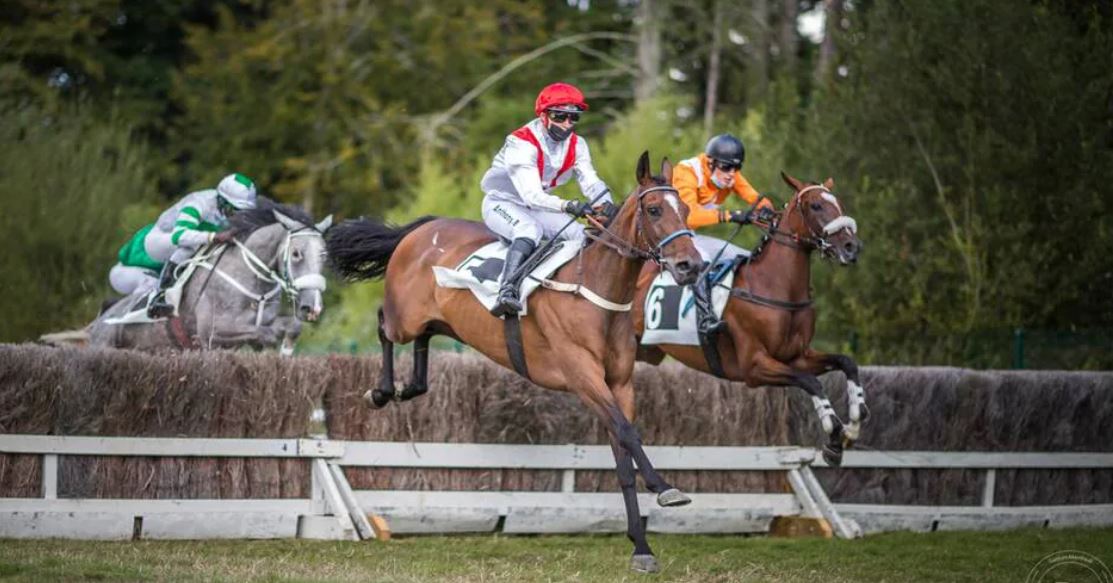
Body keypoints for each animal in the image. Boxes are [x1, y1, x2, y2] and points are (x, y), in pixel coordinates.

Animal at [82, 200, 329, 351]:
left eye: (324, 255)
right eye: (296, 254)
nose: (312, 307)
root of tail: (101, 318)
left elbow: (290, 326)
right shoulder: (212, 331)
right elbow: (265, 333)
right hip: (105, 344)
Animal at [324, 151, 698, 574]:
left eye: (685, 209)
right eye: (654, 209)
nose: (690, 265)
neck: (595, 289)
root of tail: (420, 229)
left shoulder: (620, 384)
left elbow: (623, 457)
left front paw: (641, 546)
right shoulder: (583, 377)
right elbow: (629, 434)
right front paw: (666, 489)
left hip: (437, 319)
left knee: (423, 342)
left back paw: (409, 387)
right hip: (404, 317)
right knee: (383, 324)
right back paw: (381, 391)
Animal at [636, 172, 868, 465]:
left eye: (839, 204)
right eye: (816, 206)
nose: (851, 247)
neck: (775, 286)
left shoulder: (797, 356)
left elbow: (846, 362)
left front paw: (853, 424)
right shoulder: (754, 366)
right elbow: (810, 381)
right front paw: (834, 430)